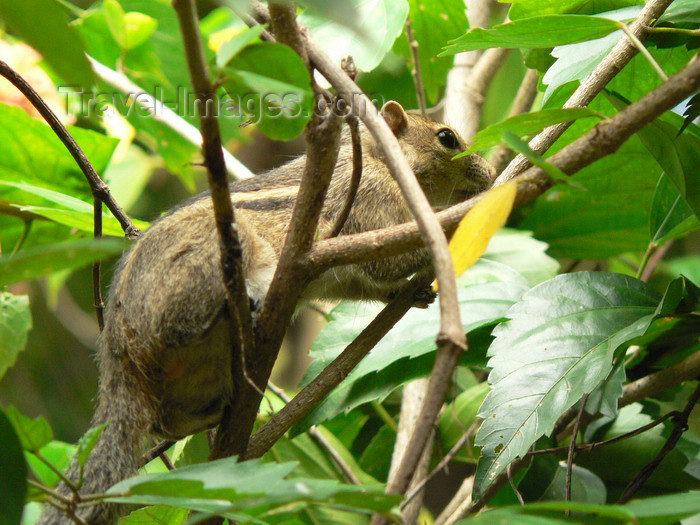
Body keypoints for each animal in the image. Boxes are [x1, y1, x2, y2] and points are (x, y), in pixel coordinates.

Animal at [39, 100, 498, 520]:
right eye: (446, 138)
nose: (491, 175)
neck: (377, 159)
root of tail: (117, 350)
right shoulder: (371, 203)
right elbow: (388, 259)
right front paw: (461, 220)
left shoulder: (336, 271)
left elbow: (362, 282)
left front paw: (413, 293)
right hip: (213, 261)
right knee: (178, 328)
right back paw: (238, 308)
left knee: (164, 422)